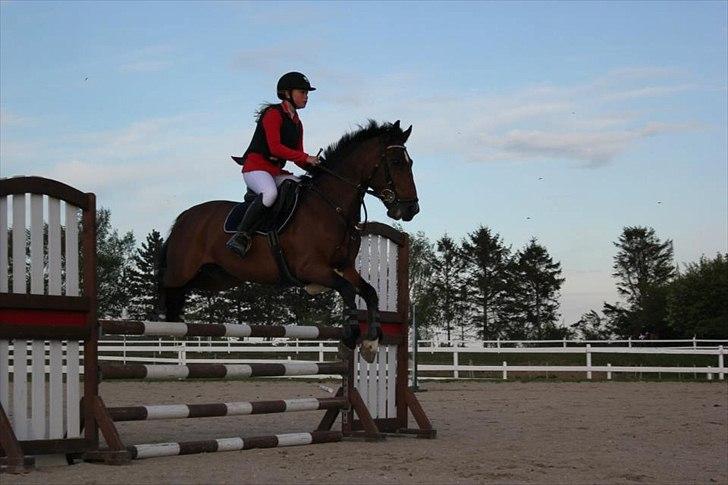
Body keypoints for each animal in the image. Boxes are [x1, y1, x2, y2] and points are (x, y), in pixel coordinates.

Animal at [159, 119, 420, 362]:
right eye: (396, 163)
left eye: (411, 163)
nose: (411, 209)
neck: (332, 207)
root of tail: (184, 217)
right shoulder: (310, 268)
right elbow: (347, 291)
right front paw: (349, 339)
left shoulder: (344, 267)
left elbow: (370, 292)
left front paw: (371, 343)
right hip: (182, 271)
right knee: (167, 286)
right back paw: (164, 322)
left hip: (218, 277)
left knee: (182, 291)